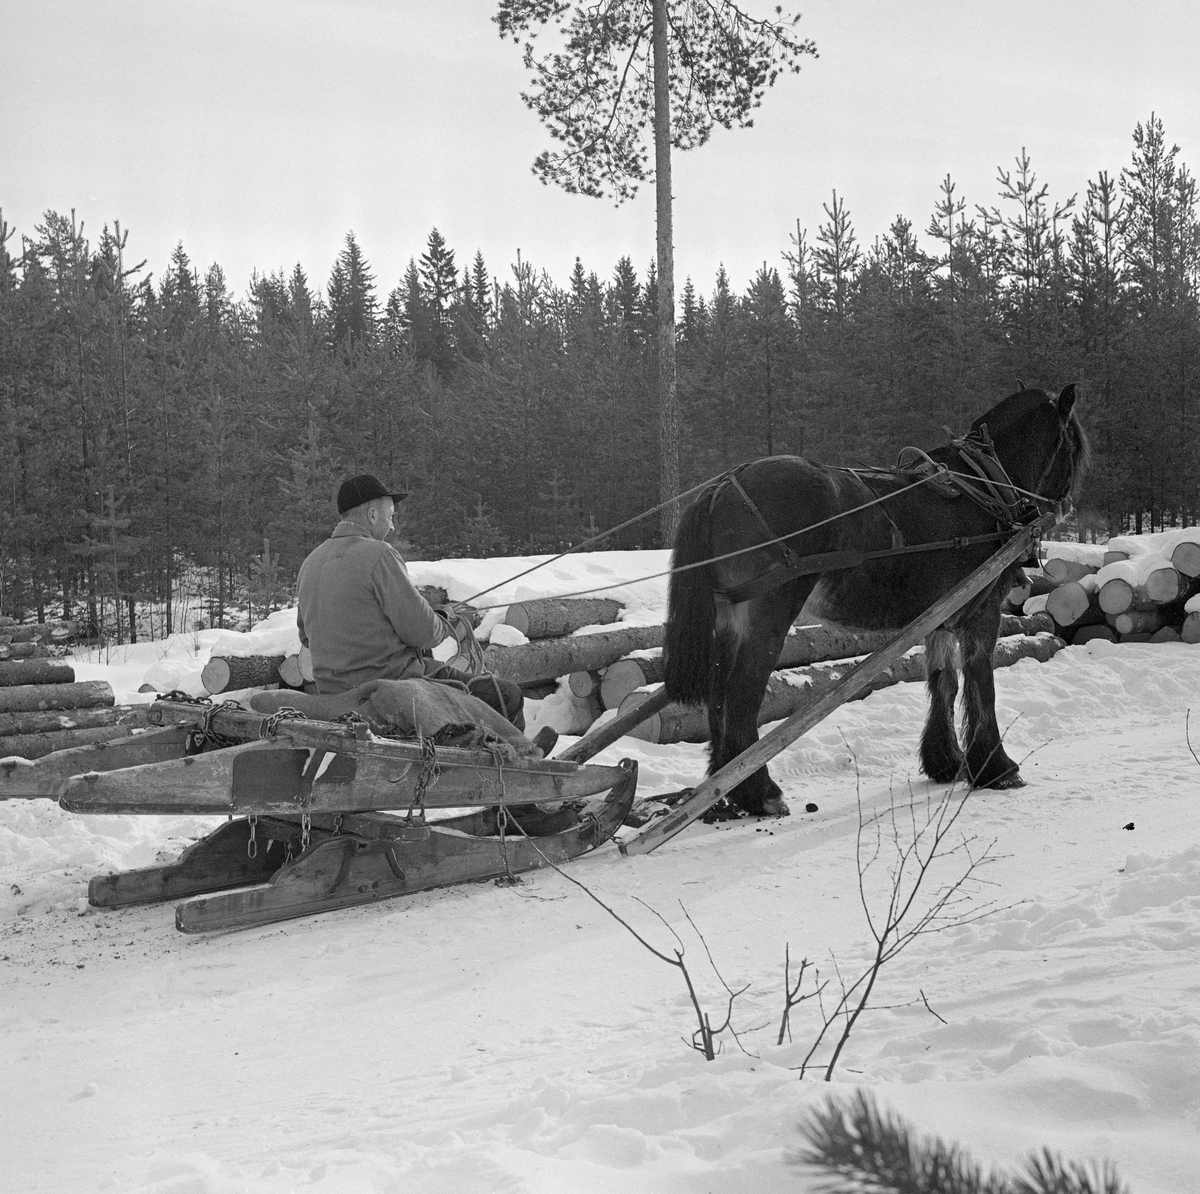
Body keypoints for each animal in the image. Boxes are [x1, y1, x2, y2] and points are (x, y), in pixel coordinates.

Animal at [662, 386, 1094, 816]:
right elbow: (980, 683)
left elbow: (944, 682)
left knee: (718, 695)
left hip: (729, 617)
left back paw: (723, 786)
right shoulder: (981, 610)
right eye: (1073, 446)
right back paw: (758, 791)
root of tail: (721, 487)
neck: (985, 485)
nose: (1066, 507)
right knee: (740, 695)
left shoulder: (941, 617)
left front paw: (945, 761)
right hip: (768, 612)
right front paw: (996, 767)